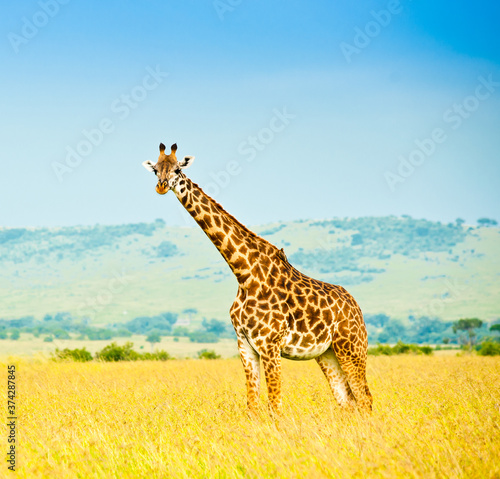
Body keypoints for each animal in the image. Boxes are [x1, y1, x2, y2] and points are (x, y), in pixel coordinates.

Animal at [143, 142, 374, 416]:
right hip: (328, 352)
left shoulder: (270, 345)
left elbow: (275, 406)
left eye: (178, 169)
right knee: (347, 401)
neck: (243, 273)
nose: (161, 186)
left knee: (365, 398)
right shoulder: (245, 345)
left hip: (352, 347)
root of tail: (356, 307)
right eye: (155, 169)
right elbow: (252, 405)